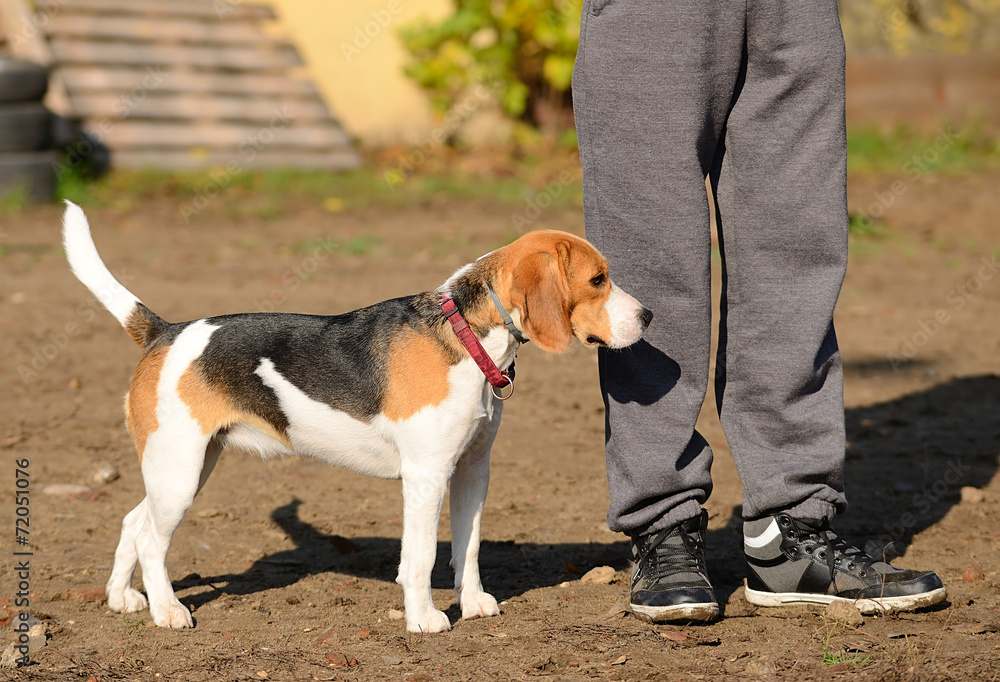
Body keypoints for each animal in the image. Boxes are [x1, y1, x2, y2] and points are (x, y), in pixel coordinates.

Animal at [60, 201, 648, 632]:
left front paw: (474, 602)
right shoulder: (426, 475)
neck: (464, 333)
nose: (648, 316)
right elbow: (419, 558)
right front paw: (425, 619)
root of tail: (165, 331)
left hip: (187, 466)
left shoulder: (472, 471)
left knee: (132, 522)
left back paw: (122, 598)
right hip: (179, 471)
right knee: (151, 541)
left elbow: (469, 546)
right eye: (597, 280)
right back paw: (166, 610)